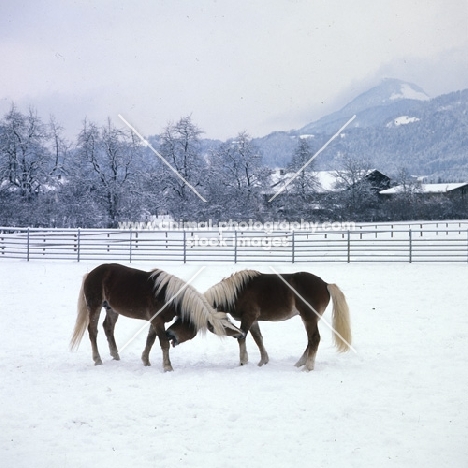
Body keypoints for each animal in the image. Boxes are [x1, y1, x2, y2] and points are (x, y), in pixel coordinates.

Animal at [71, 266, 245, 372]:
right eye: (223, 328)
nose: (241, 333)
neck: (167, 295)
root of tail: (91, 273)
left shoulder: (156, 321)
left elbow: (150, 340)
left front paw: (145, 361)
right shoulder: (157, 321)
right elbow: (163, 343)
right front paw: (167, 367)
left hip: (111, 309)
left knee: (108, 328)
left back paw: (115, 356)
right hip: (95, 306)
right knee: (93, 331)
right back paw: (97, 359)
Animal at [204, 268, 352, 372]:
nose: (235, 334)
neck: (238, 291)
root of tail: (325, 284)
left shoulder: (248, 317)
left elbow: (243, 339)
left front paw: (243, 362)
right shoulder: (253, 320)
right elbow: (258, 338)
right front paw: (263, 362)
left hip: (309, 318)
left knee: (314, 339)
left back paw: (307, 367)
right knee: (310, 341)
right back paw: (300, 363)